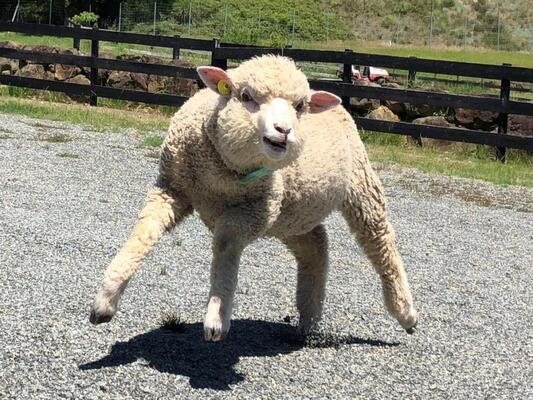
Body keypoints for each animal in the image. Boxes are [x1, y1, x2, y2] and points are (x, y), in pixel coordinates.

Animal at [89, 54, 418, 340]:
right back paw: (309, 319)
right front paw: (105, 301)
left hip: (359, 186)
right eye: (246, 96)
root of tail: (336, 100)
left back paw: (405, 313)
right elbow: (143, 231)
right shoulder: (171, 188)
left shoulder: (258, 210)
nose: (284, 130)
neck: (222, 173)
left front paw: (217, 316)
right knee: (316, 247)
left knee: (380, 242)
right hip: (292, 214)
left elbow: (225, 242)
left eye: (300, 106)